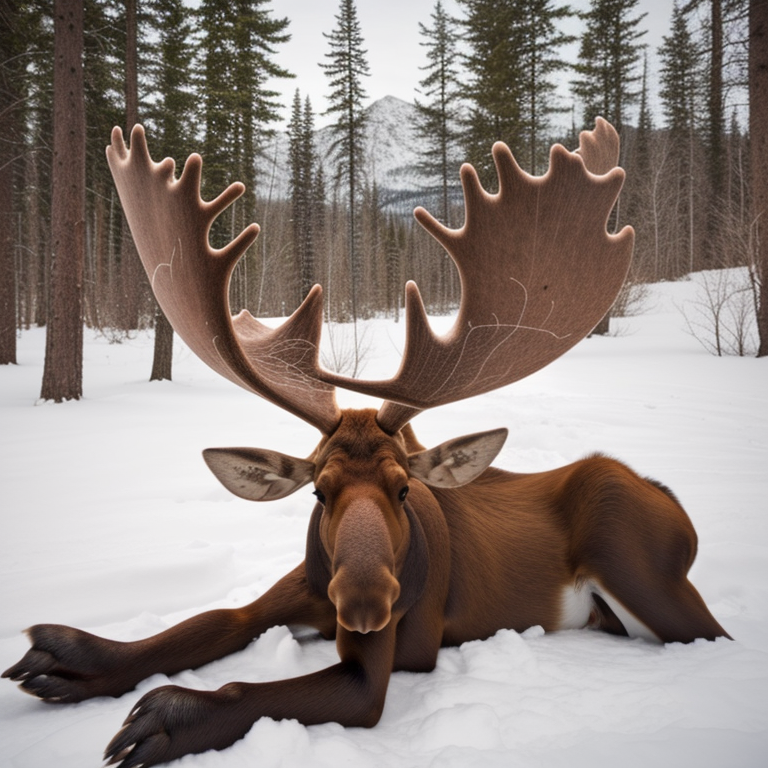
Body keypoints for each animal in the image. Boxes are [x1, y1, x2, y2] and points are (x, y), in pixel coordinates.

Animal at [3, 119, 730, 768]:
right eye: (318, 493)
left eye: (404, 488)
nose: (363, 605)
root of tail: (669, 501)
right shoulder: (297, 587)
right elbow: (207, 621)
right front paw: (67, 656)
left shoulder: (385, 660)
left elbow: (244, 689)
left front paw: (160, 716)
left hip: (643, 569)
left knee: (712, 633)